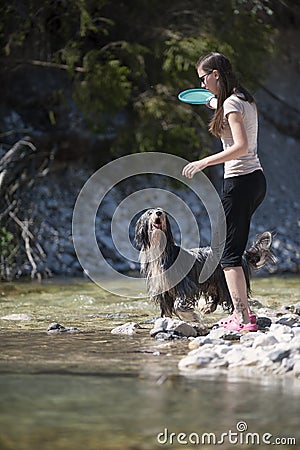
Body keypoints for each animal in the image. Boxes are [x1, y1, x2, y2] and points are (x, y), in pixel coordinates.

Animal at [135, 207, 274, 324]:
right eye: (149, 213)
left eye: (162, 211)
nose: (159, 213)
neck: (160, 249)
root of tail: (243, 254)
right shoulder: (162, 289)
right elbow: (167, 309)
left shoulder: (185, 285)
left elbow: (178, 305)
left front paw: (191, 317)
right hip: (215, 282)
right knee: (218, 296)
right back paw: (208, 308)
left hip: (224, 281)